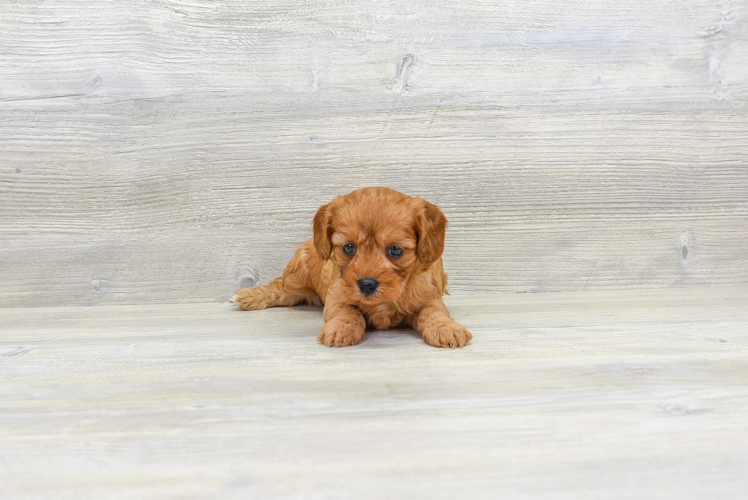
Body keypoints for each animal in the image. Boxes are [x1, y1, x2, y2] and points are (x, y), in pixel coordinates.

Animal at [231, 187, 470, 348]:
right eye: (348, 247)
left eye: (395, 250)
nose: (367, 284)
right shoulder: (337, 295)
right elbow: (348, 312)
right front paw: (341, 328)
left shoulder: (429, 296)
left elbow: (434, 313)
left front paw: (446, 328)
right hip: (297, 275)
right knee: (280, 288)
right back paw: (249, 295)